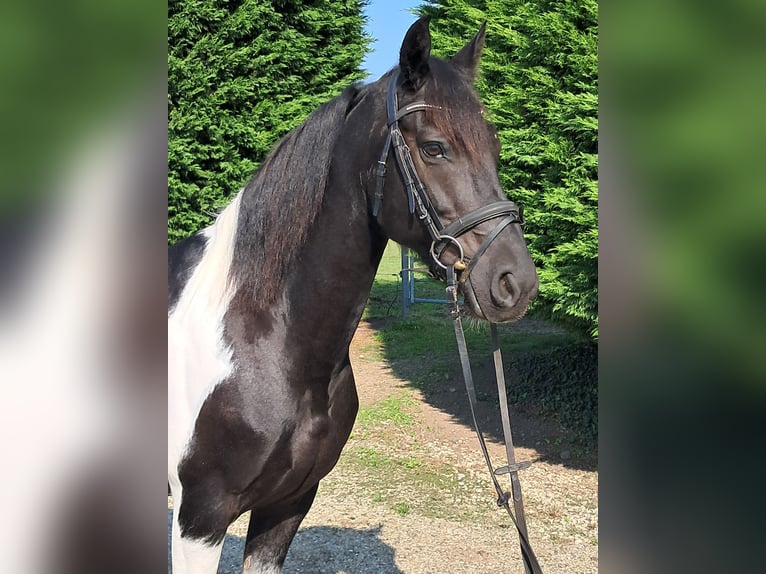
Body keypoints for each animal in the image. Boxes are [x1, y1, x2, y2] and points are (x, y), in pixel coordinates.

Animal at [168, 18, 540, 574]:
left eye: (494, 148)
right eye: (434, 147)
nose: (514, 283)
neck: (261, 339)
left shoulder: (286, 506)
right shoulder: (199, 520)